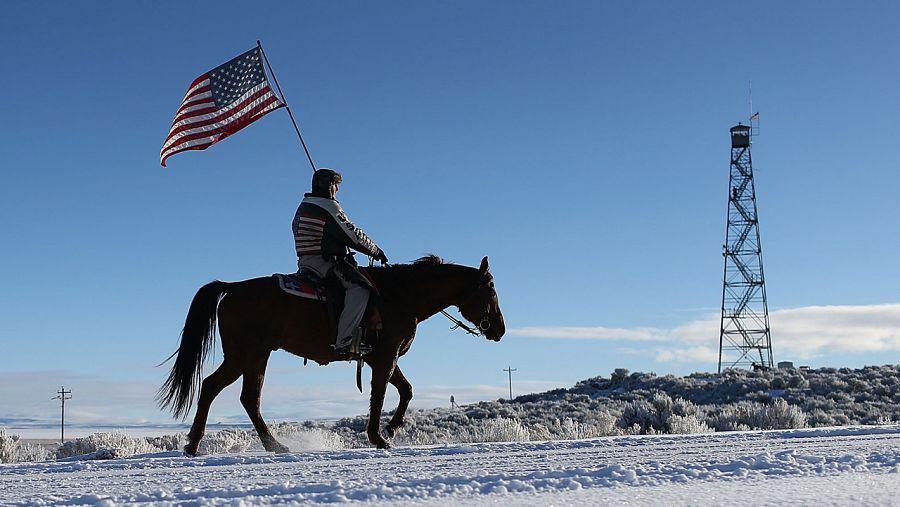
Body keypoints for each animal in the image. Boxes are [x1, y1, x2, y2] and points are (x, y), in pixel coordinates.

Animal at [157, 256, 502, 454]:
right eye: (491, 289)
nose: (499, 329)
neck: (400, 296)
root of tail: (233, 287)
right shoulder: (385, 356)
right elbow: (379, 394)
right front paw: (378, 437)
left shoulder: (383, 358)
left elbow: (406, 390)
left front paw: (390, 429)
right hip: (244, 355)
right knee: (213, 388)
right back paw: (195, 444)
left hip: (256, 357)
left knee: (246, 398)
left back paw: (271, 445)